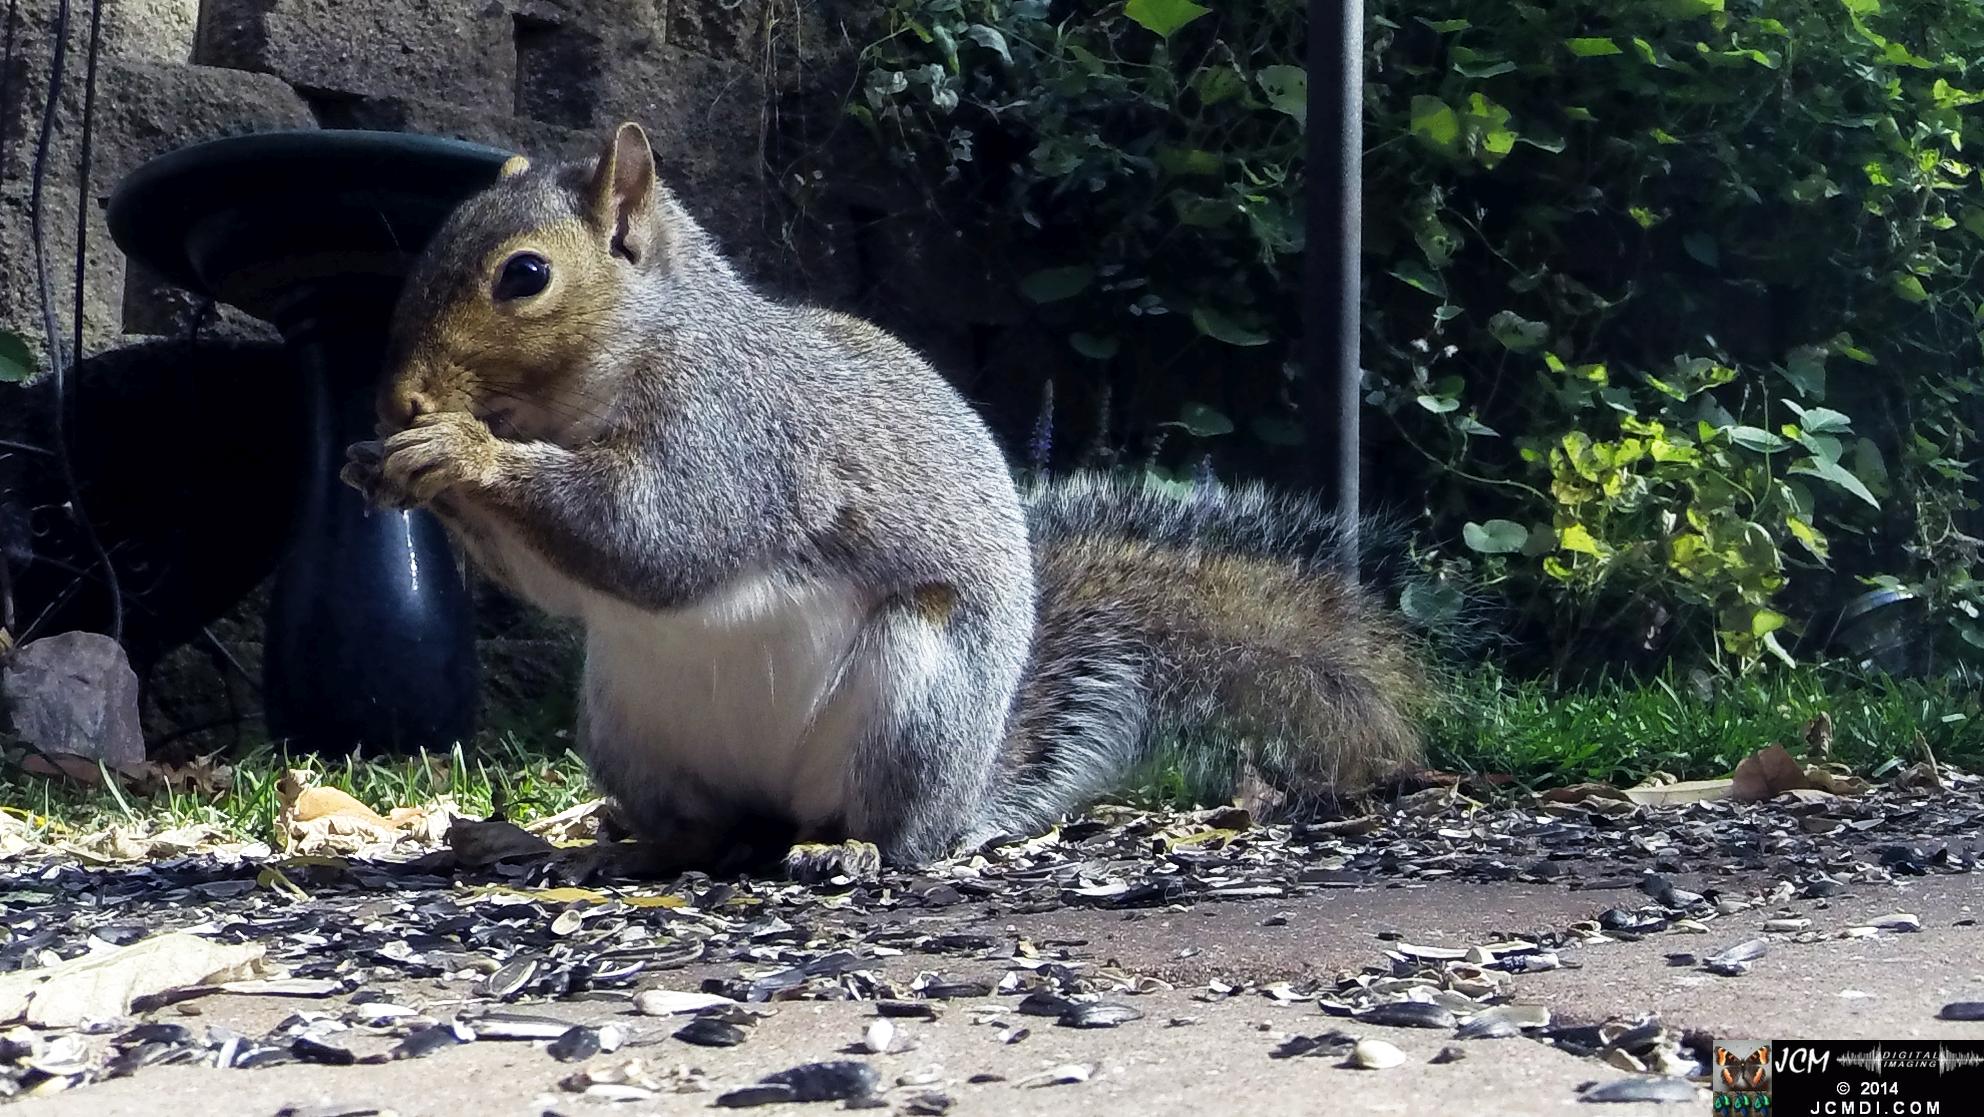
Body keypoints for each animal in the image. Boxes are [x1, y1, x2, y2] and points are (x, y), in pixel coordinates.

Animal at [341, 122, 1430, 871]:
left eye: (524, 276)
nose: (398, 399)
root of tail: (965, 799)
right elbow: (568, 583)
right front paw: (380, 460)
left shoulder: (738, 436)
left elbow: (657, 539)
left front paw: (462, 449)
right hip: (626, 725)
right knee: (712, 830)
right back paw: (631, 845)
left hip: (908, 703)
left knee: (883, 828)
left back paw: (849, 848)